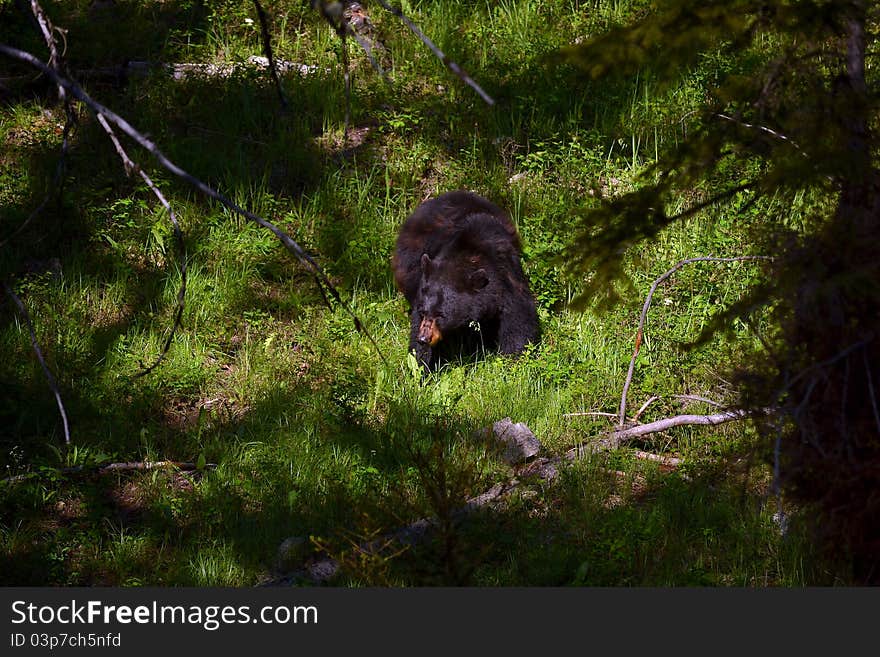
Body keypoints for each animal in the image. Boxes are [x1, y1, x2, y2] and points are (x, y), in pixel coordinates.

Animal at [394, 192, 544, 372]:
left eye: (441, 315)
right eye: (424, 312)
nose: (424, 338)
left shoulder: (507, 273)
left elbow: (518, 317)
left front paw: (513, 361)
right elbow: (417, 325)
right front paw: (420, 365)